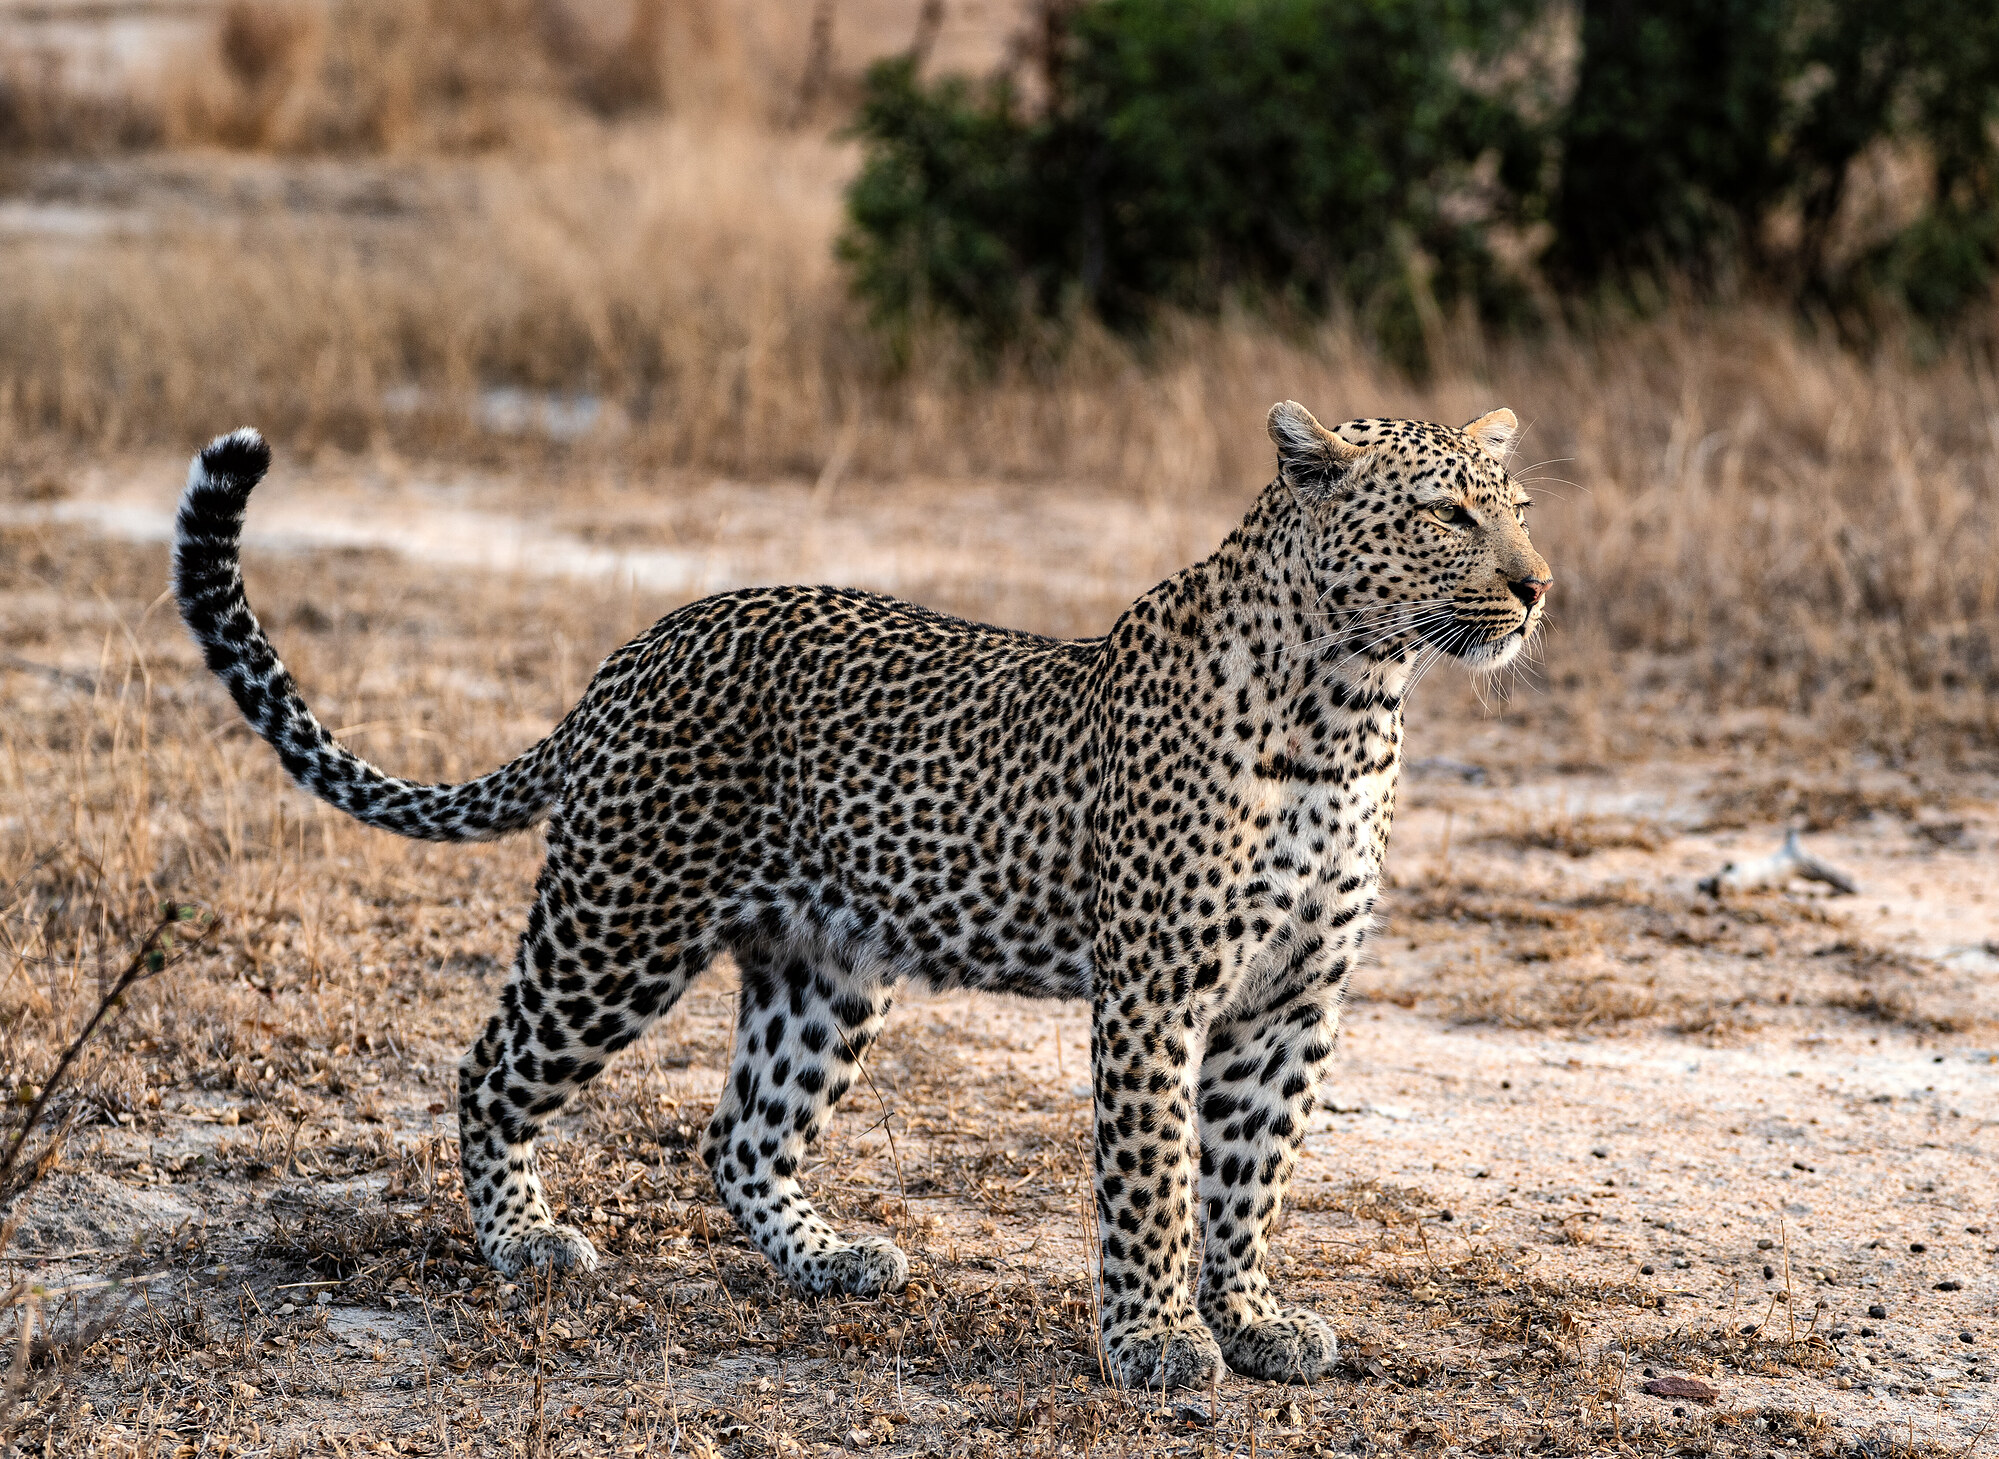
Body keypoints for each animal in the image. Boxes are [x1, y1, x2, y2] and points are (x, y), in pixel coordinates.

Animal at [172, 401, 1551, 1391]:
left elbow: (1249, 1173)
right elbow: (1154, 1177)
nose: (1538, 586)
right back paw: (524, 1240)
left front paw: (1254, 1317)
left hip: (821, 968)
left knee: (740, 1134)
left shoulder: (1292, 1001)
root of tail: (631, 654)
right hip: (619, 921)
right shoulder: (1157, 993)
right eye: (1444, 514)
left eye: (1521, 511)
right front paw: (1157, 1337)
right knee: (490, 1068)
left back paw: (830, 1259)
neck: (1351, 707)